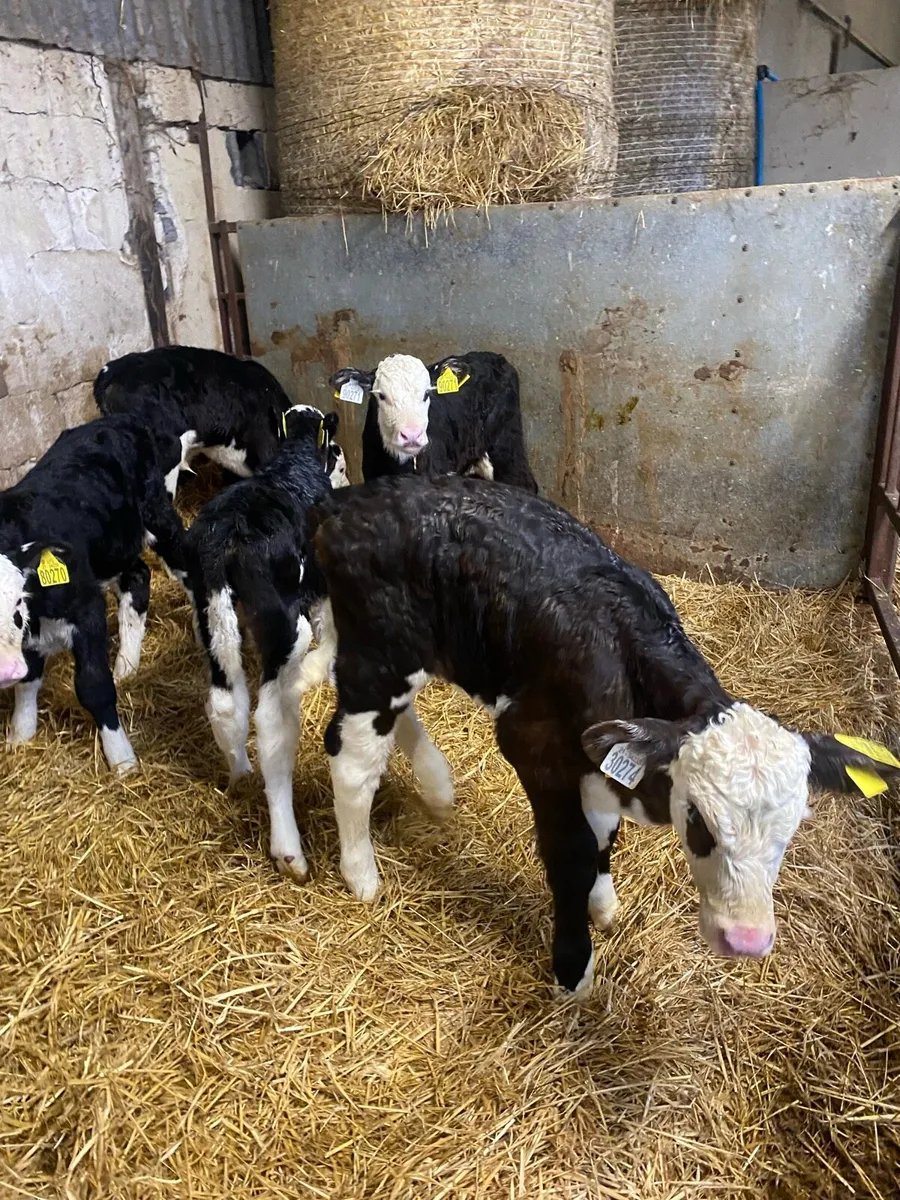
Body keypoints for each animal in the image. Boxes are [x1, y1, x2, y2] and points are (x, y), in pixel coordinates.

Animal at [0, 415, 187, 773]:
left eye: (15, 598)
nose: (3, 669)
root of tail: (120, 420)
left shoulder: (86, 609)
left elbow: (93, 686)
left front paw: (122, 759)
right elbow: (28, 677)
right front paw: (21, 733)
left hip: (158, 515)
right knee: (137, 577)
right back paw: (127, 664)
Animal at [183, 406, 347, 881]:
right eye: (337, 452)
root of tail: (227, 533)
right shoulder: (319, 581)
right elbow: (329, 625)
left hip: (208, 614)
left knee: (225, 700)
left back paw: (240, 774)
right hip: (284, 628)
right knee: (273, 723)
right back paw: (289, 849)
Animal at [309, 474, 899, 995]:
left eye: (793, 827)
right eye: (698, 820)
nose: (747, 940)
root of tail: (349, 500)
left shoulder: (601, 754)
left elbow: (602, 834)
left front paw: (602, 901)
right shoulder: (533, 746)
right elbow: (570, 853)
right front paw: (574, 967)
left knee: (394, 719)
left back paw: (436, 787)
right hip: (378, 654)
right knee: (351, 756)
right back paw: (361, 872)